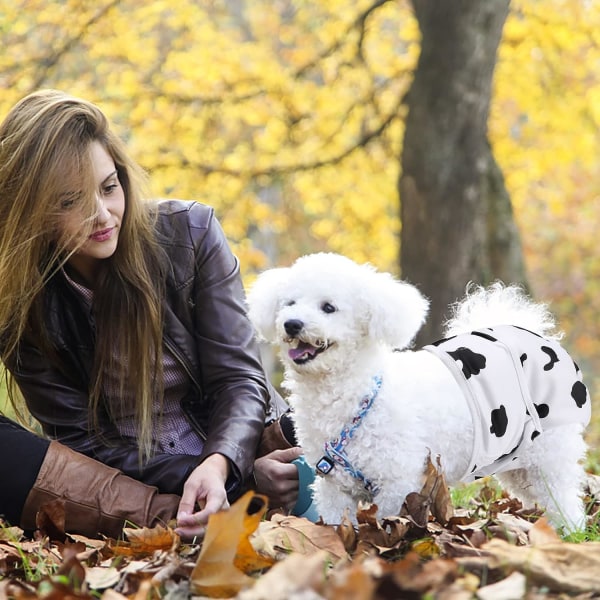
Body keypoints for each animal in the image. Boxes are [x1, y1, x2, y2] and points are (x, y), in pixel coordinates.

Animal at [247, 253, 592, 528]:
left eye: (328, 307)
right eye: (289, 303)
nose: (291, 323)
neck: (358, 395)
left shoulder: (398, 482)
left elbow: (386, 523)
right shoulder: (333, 487)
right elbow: (335, 526)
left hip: (549, 451)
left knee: (563, 498)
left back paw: (570, 533)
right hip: (515, 461)